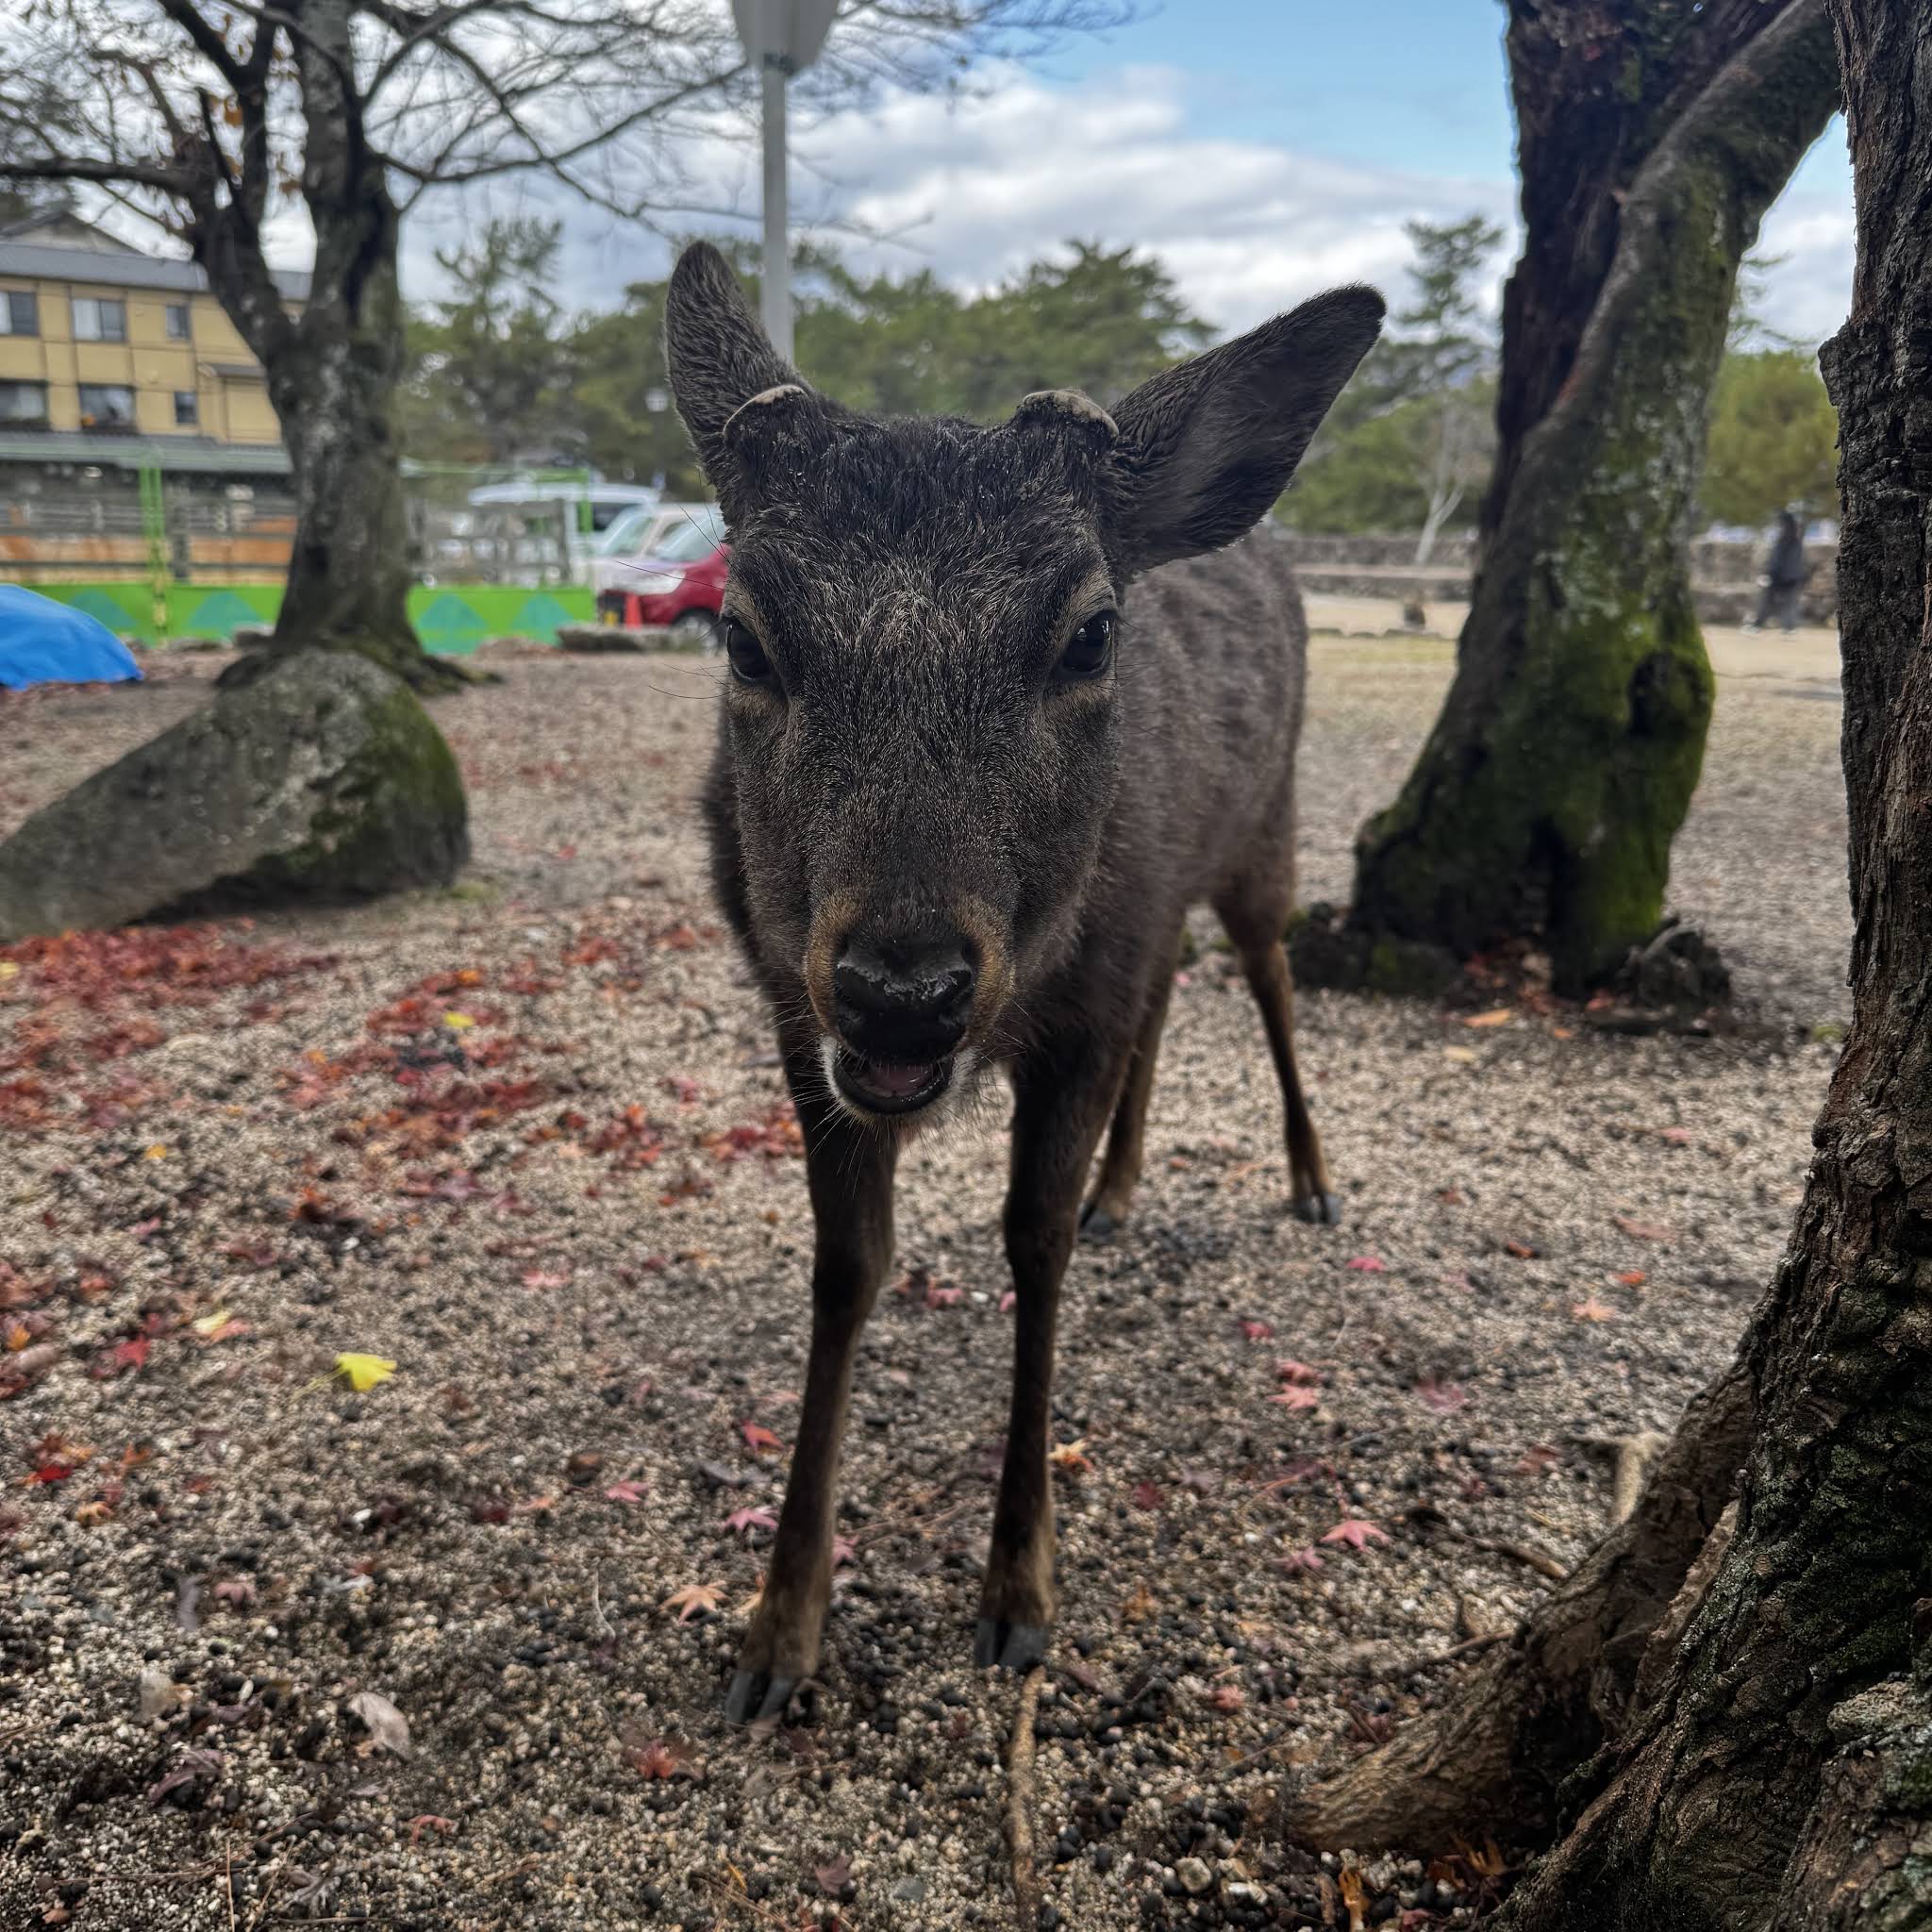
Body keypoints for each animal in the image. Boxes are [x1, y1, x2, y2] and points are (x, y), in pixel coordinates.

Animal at [662, 242, 1383, 1723]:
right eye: (744, 636)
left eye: (1091, 632)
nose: (903, 985)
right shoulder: (793, 1017)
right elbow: (846, 1267)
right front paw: (777, 1628)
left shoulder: (1078, 1006)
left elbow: (1030, 1246)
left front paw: (1018, 1590)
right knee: (1170, 1002)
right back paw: (1125, 1185)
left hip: (1266, 834)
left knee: (1270, 977)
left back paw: (1308, 1174)